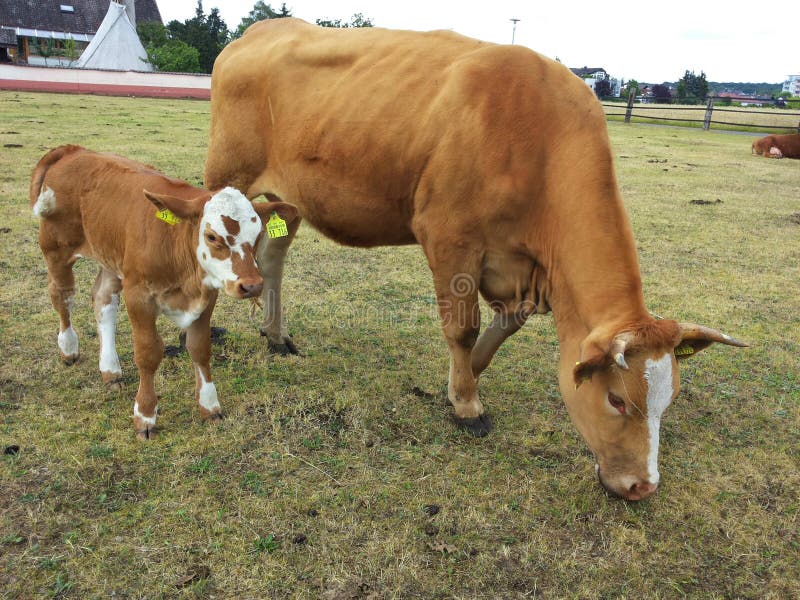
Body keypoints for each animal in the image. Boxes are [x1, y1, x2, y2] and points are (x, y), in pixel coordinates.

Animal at [31, 145, 297, 439]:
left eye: (258, 234)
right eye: (212, 237)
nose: (252, 285)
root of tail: (73, 150)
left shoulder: (207, 295)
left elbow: (199, 348)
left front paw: (209, 406)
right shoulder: (138, 295)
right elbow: (148, 353)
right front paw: (145, 416)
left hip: (111, 256)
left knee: (103, 300)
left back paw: (110, 370)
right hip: (55, 247)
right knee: (62, 295)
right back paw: (68, 348)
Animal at [204, 19, 746, 500]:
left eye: (668, 399)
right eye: (617, 398)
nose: (642, 487)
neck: (538, 141)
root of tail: (259, 31)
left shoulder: (521, 271)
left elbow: (502, 329)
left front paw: (457, 384)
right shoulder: (450, 237)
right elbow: (462, 328)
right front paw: (467, 405)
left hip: (288, 200)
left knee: (272, 257)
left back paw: (275, 334)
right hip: (226, 177)